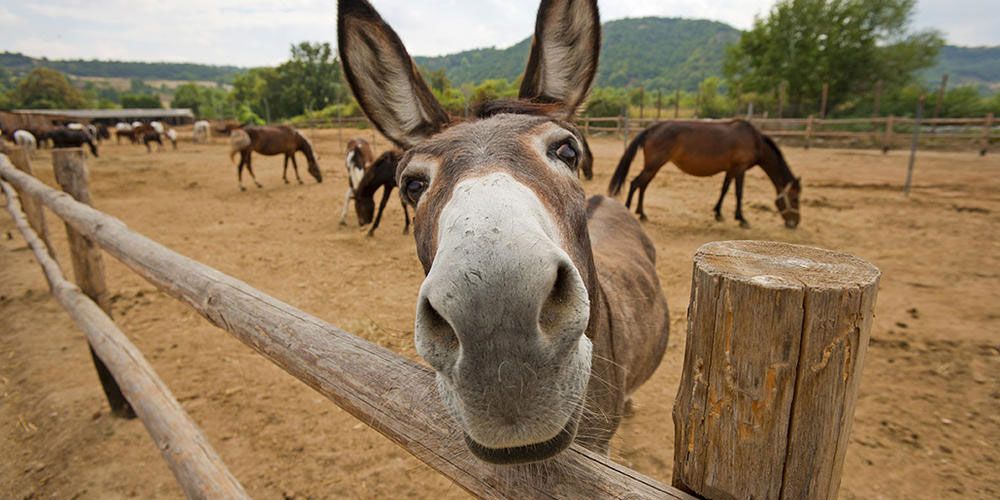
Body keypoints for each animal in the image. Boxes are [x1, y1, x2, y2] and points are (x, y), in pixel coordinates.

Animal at [604, 119, 800, 229]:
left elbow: (724, 190)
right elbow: (738, 193)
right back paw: (629, 212)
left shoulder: (730, 170)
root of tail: (652, 128)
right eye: (795, 198)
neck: (754, 140)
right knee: (635, 183)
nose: (795, 223)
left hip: (653, 166)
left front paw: (718, 213)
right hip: (654, 165)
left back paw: (642, 214)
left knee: (642, 185)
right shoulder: (740, 169)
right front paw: (742, 219)